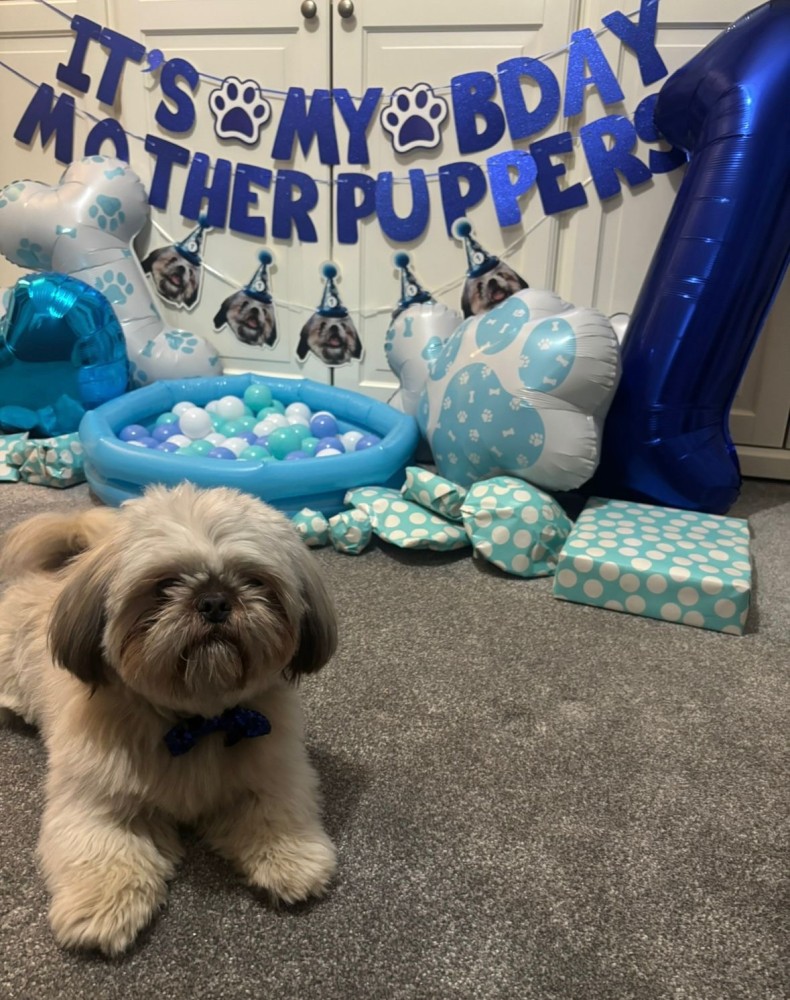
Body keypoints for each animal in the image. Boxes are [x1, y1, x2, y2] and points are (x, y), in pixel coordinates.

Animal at [0, 484, 338, 956]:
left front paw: (293, 859)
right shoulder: (94, 801)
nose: (214, 601)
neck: (196, 722)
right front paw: (101, 909)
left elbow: (276, 814)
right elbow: (103, 851)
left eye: (254, 581)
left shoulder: (274, 772)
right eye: (164, 586)